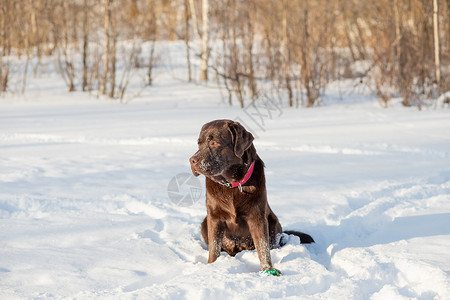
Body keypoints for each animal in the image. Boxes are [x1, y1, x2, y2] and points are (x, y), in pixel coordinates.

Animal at [190, 120, 312, 274]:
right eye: (199, 144)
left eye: (214, 143)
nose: (192, 160)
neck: (233, 184)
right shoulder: (214, 217)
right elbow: (214, 247)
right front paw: (212, 265)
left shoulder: (257, 216)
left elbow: (263, 247)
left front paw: (267, 269)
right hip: (204, 223)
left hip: (273, 222)